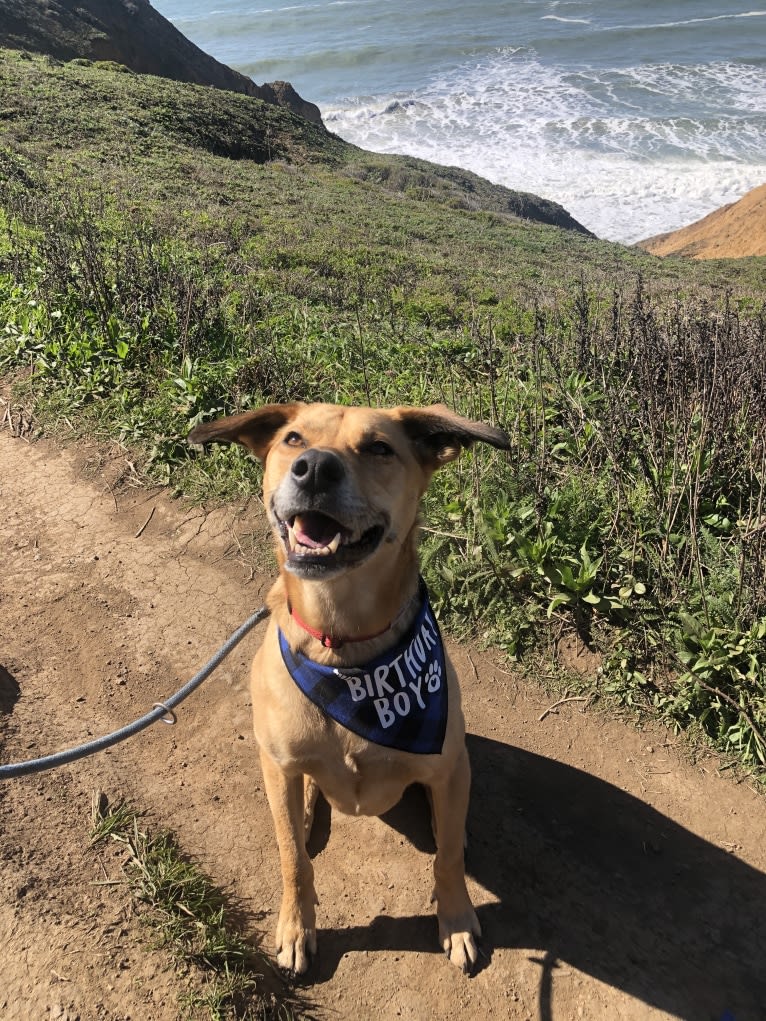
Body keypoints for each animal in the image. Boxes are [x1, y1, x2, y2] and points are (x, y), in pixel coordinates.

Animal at [187, 400, 510, 971]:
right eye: (293, 438)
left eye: (379, 448)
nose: (314, 468)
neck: (345, 654)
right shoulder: (279, 765)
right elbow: (292, 858)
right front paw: (296, 927)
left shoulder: (446, 764)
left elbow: (447, 858)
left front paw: (456, 918)